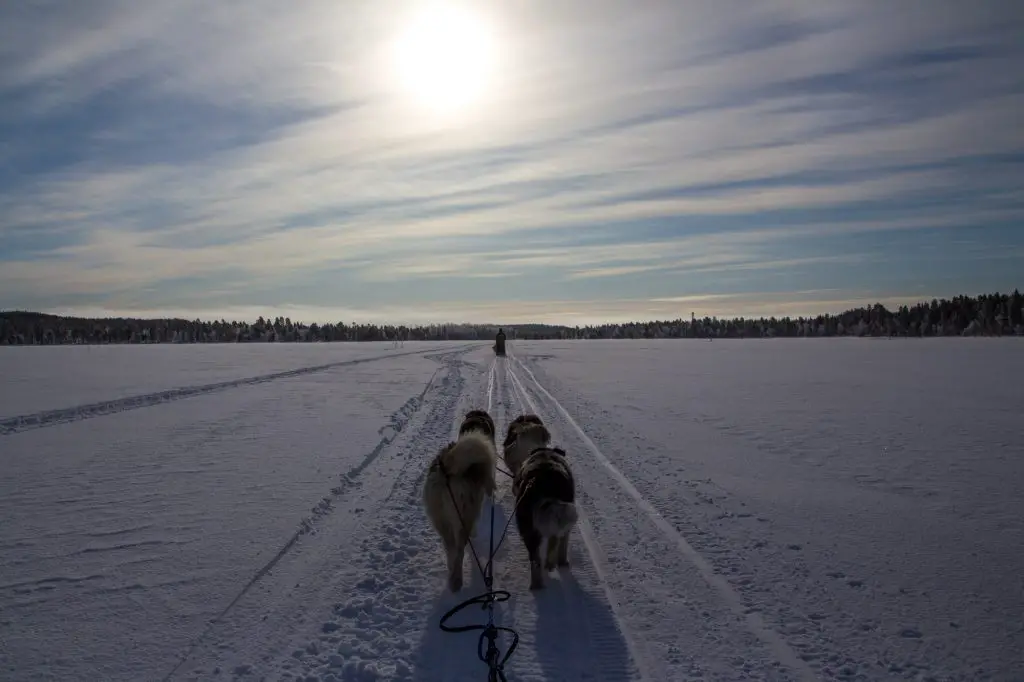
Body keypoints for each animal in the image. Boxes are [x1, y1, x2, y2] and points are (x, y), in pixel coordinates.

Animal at [421, 409, 497, 589]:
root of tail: (446, 471)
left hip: (442, 522)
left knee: (450, 549)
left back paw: (451, 574)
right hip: (463, 518)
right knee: (460, 551)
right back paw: (457, 581)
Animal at [512, 444, 577, 585]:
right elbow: (563, 542)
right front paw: (563, 562)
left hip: (528, 528)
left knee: (535, 560)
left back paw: (536, 584)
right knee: (554, 541)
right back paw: (550, 564)